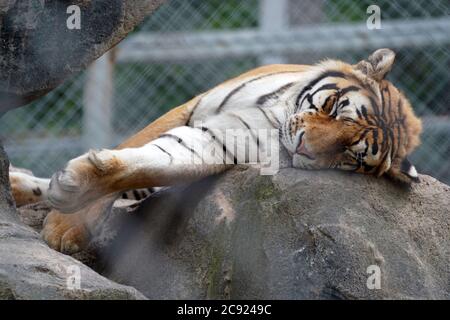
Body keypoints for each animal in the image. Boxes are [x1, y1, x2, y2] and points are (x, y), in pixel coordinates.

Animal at [8, 49, 422, 255]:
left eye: (348, 154)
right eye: (334, 107)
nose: (304, 146)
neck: (276, 118)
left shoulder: (220, 142)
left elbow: (155, 162)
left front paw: (66, 214)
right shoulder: (192, 107)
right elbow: (137, 145)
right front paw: (67, 225)